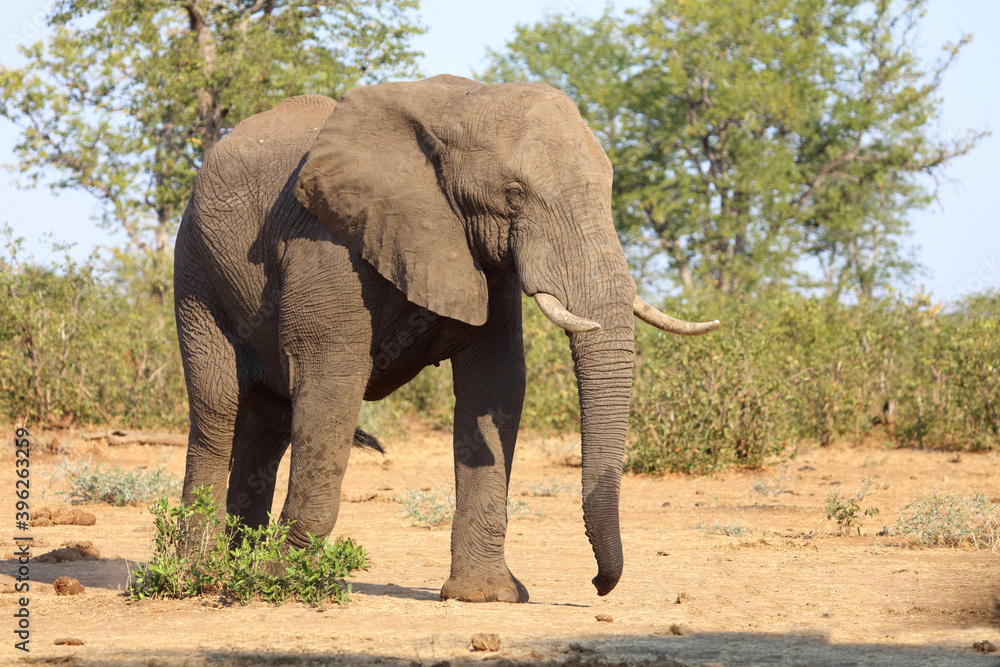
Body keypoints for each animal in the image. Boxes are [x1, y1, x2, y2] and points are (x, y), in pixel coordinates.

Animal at [174, 74, 718, 603]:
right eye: (514, 194)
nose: (597, 585)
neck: (452, 107)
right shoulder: (327, 243)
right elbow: (332, 381)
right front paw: (283, 583)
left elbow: (497, 386)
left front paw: (487, 595)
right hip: (196, 270)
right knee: (218, 406)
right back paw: (198, 575)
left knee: (270, 421)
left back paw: (235, 567)